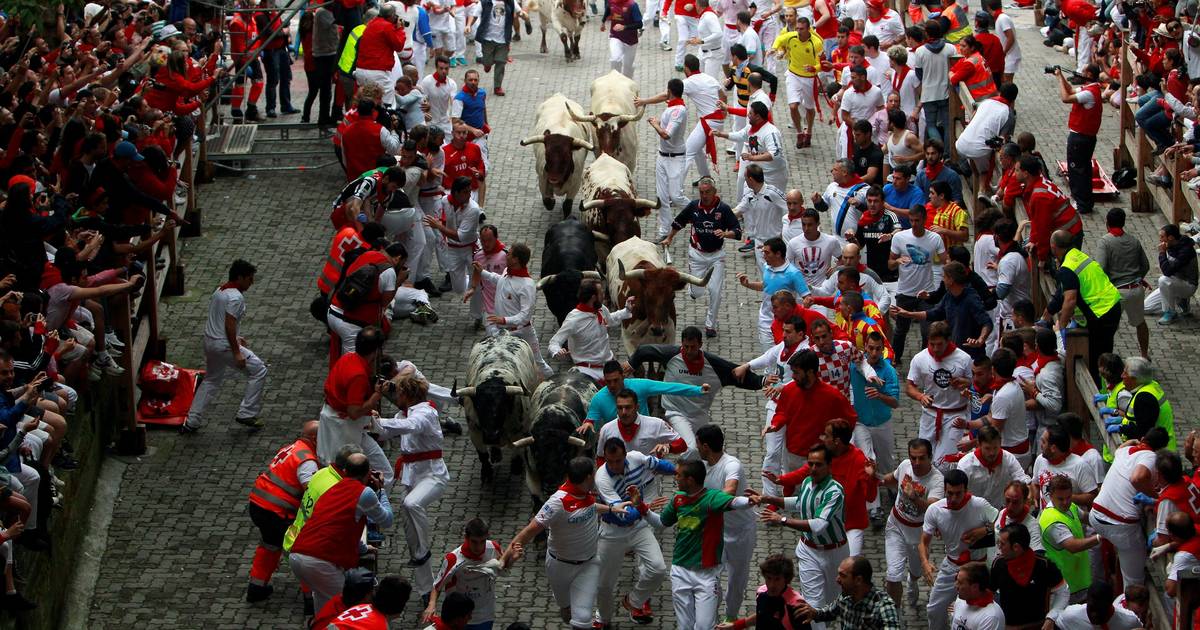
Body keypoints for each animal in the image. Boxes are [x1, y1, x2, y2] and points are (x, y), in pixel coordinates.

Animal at [451, 333, 542, 482]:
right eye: (478, 405)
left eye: (502, 405)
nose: (491, 436)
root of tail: (504, 333)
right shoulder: (475, 431)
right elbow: (483, 455)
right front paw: (487, 472)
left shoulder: (520, 431)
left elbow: (517, 452)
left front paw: (517, 467)